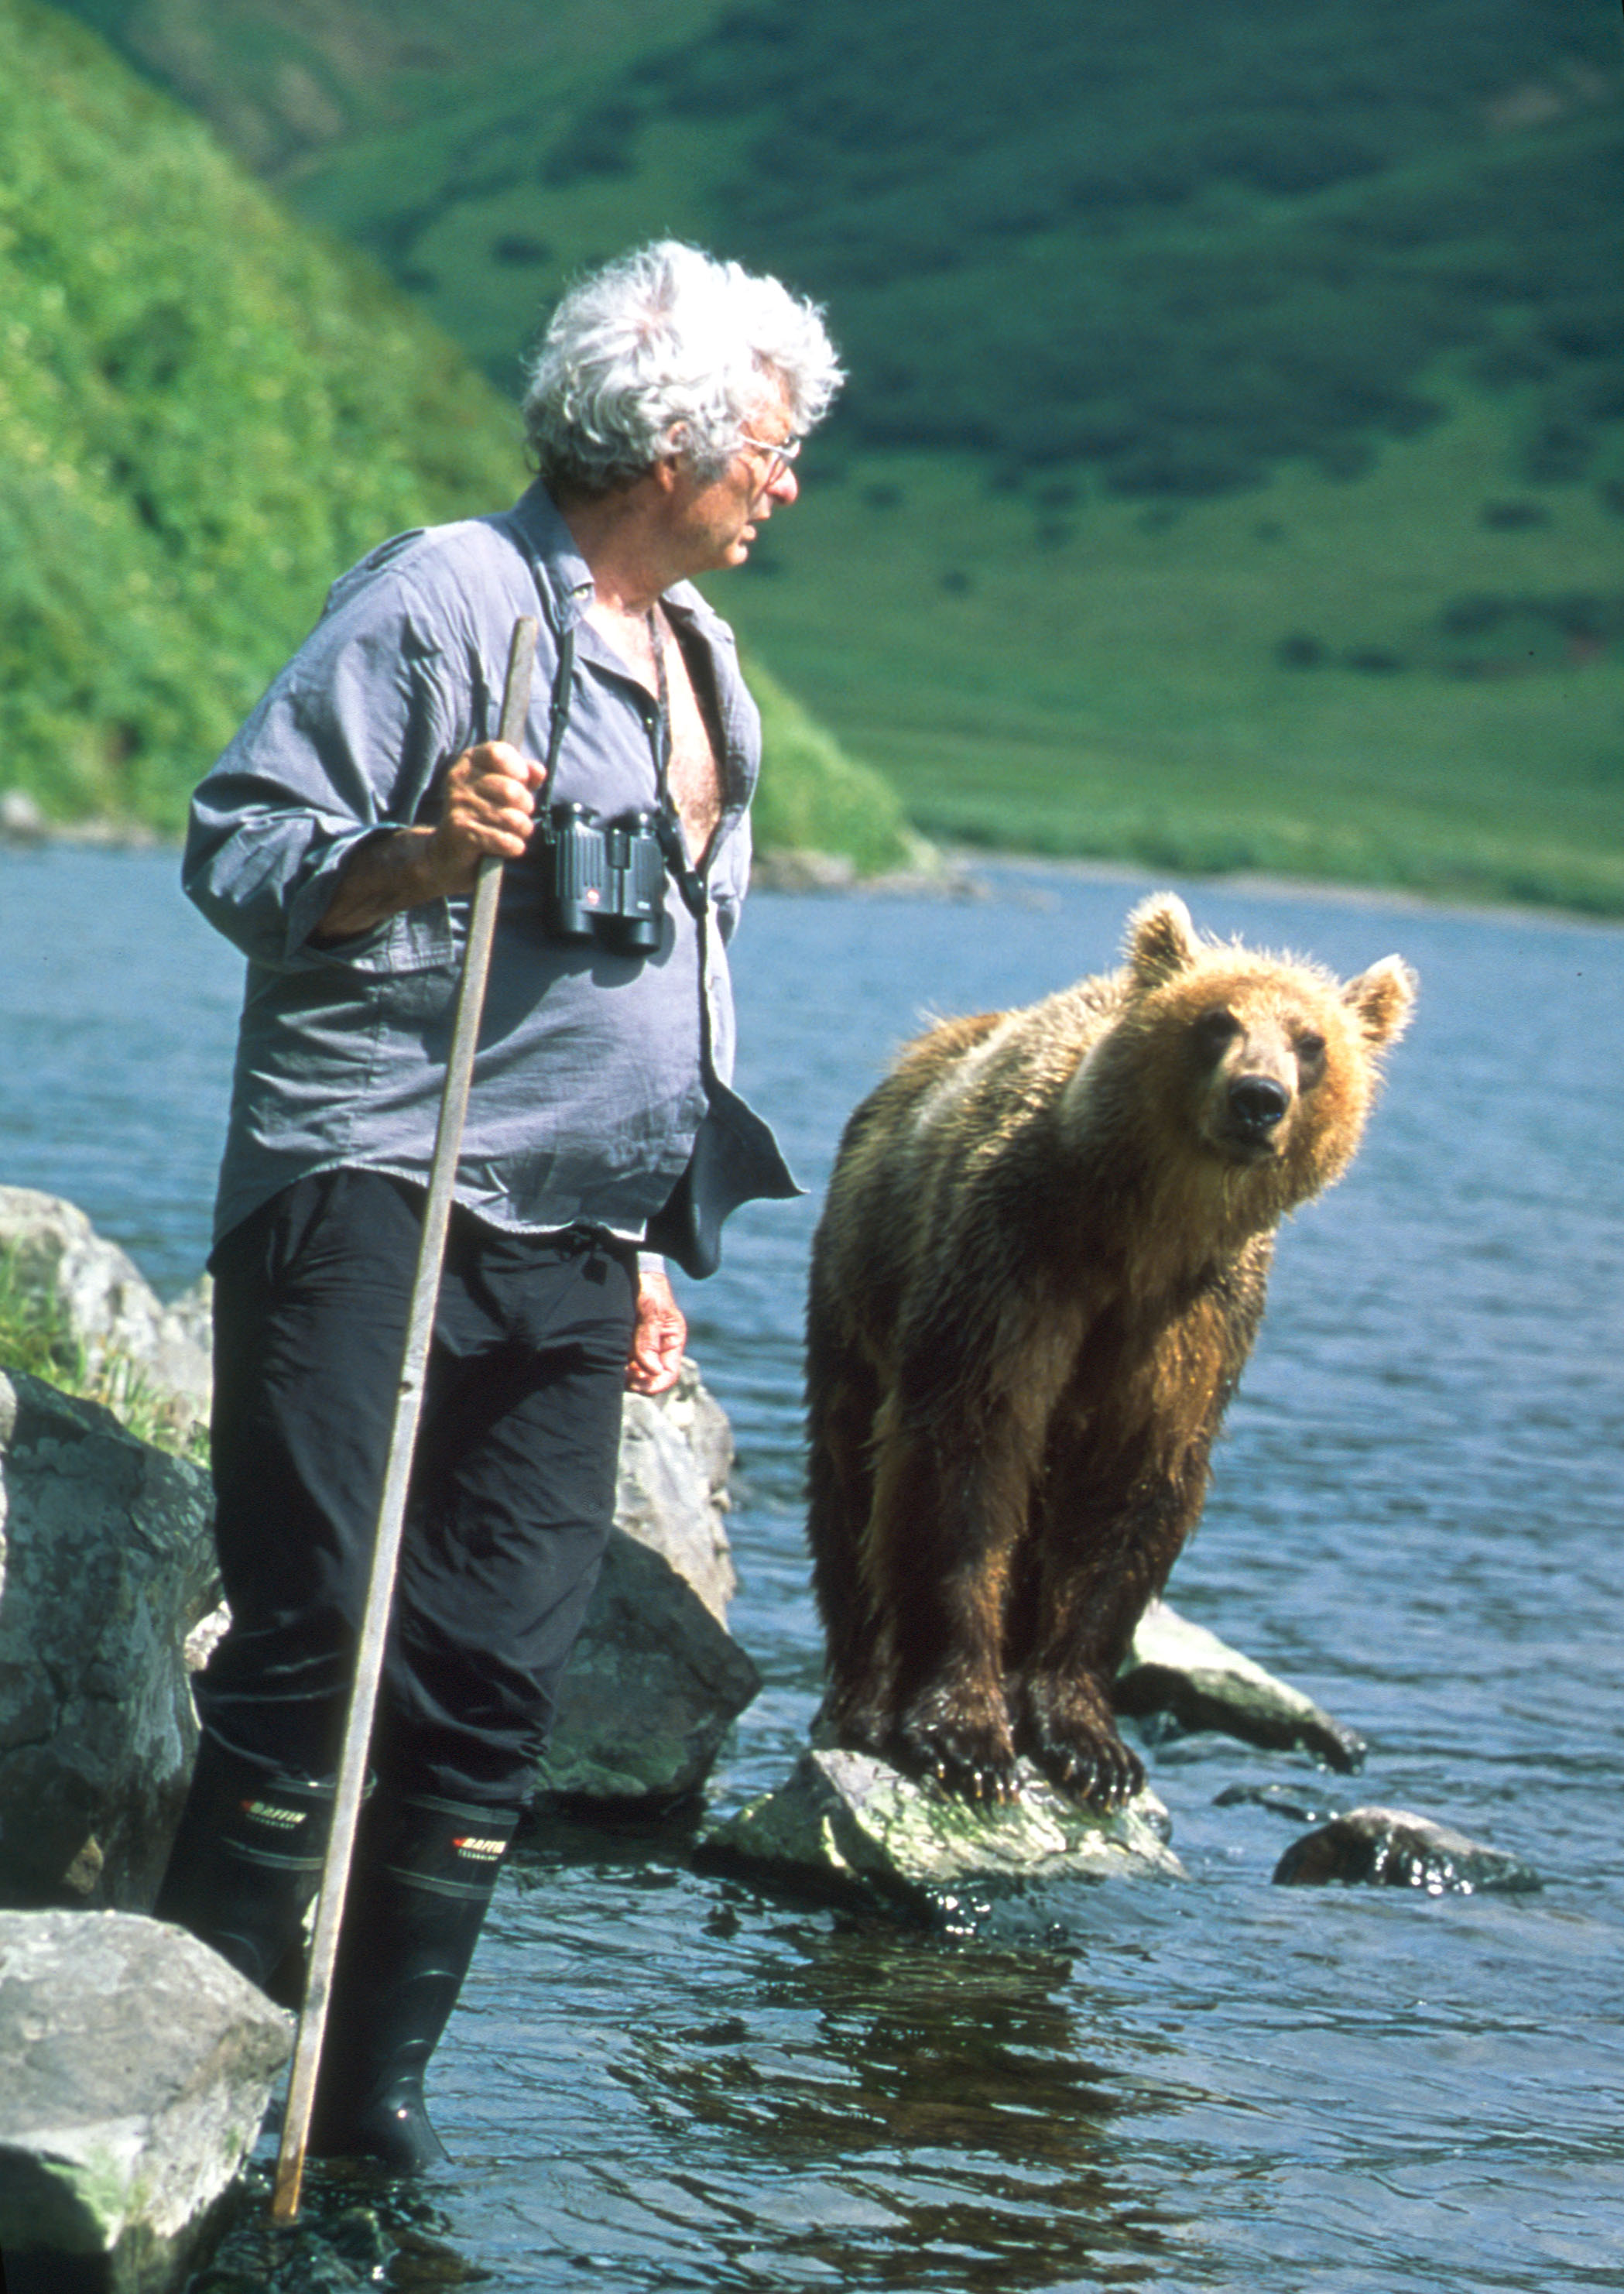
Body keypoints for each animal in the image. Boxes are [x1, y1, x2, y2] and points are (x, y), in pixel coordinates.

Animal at [807, 894, 1413, 1807]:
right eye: (1217, 1021)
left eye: (1311, 1041)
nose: (1259, 1098)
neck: (1140, 1227)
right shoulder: (1014, 1255)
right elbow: (967, 1446)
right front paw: (965, 1734)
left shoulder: (1194, 1316)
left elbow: (1133, 1484)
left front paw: (1090, 1743)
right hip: (859, 1274)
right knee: (849, 1475)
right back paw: (862, 1694)